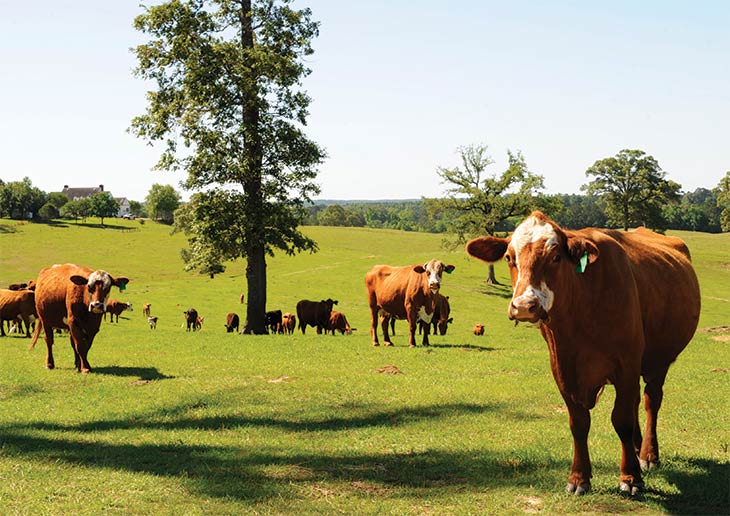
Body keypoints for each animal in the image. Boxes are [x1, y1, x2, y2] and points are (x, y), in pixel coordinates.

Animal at [466, 211, 700, 496]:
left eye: (556, 257)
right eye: (510, 258)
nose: (523, 306)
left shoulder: (626, 365)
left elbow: (621, 420)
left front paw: (631, 477)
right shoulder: (562, 369)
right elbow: (578, 423)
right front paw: (579, 478)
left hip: (658, 361)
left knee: (650, 402)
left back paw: (648, 455)